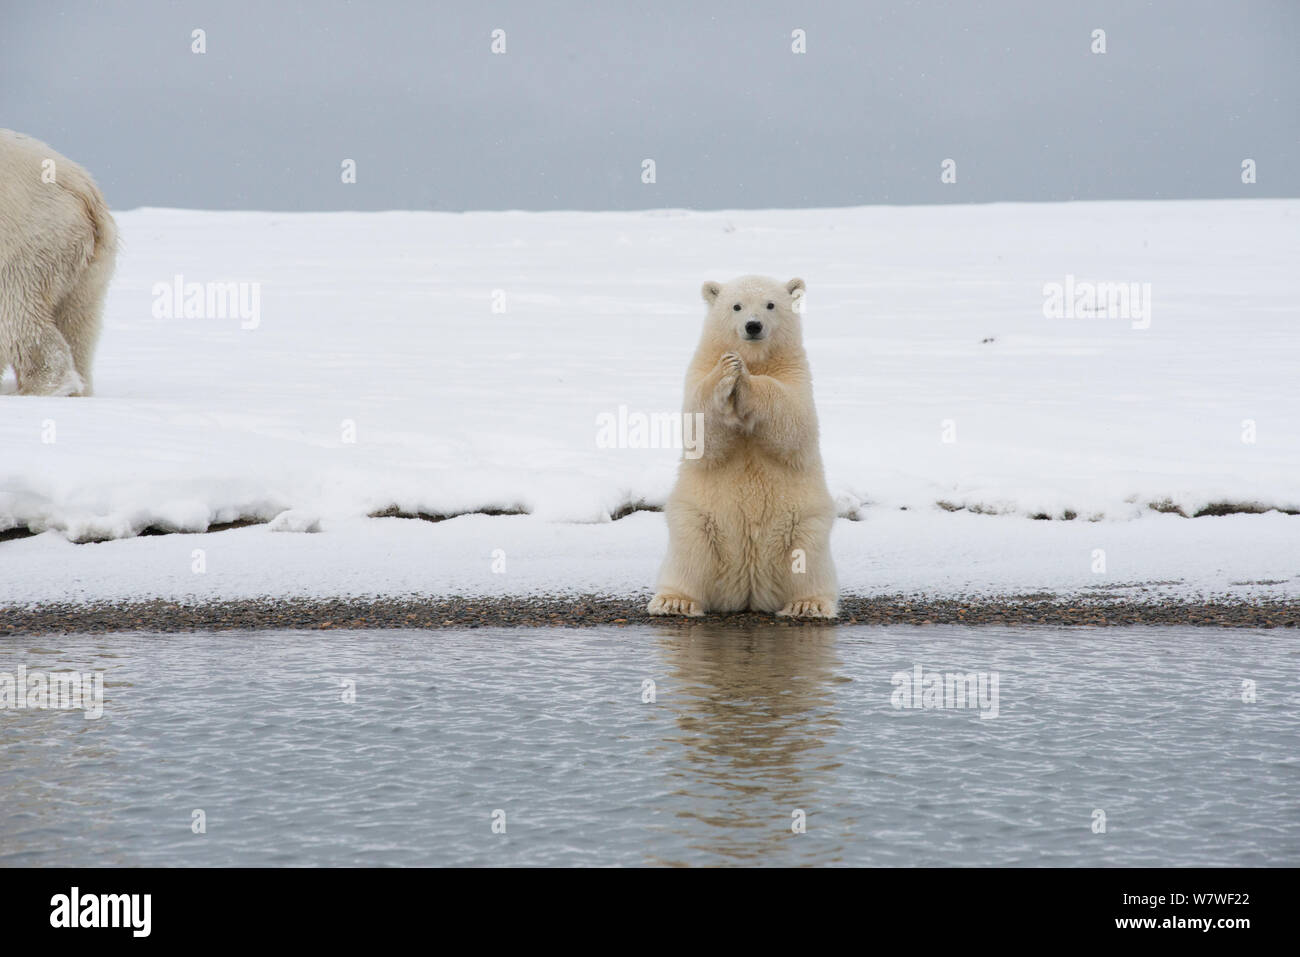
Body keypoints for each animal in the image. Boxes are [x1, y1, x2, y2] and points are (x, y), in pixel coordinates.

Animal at [0, 128, 116, 395]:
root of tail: (83, 190)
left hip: (28, 242)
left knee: (17, 318)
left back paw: (38, 388)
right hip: (91, 269)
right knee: (79, 326)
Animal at [650, 276, 842, 621]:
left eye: (770, 304)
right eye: (736, 306)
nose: (753, 326)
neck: (758, 358)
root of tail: (749, 591)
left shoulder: (796, 374)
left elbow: (795, 420)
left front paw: (747, 381)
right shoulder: (698, 369)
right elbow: (700, 429)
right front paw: (728, 370)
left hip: (805, 522)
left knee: (807, 560)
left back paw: (808, 604)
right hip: (697, 519)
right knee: (689, 555)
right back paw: (675, 601)